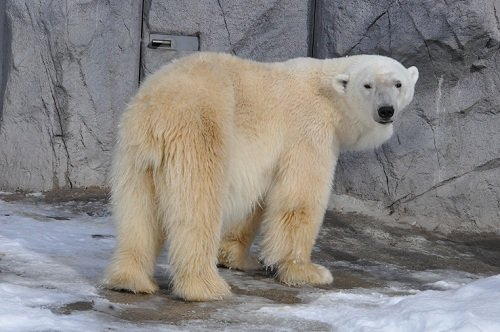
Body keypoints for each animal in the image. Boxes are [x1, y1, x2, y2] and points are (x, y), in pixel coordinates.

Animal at [104, 52, 418, 300]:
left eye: (398, 84)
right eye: (367, 85)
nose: (386, 110)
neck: (328, 91)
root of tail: (157, 109)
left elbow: (256, 200)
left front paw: (235, 257)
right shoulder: (309, 131)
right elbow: (299, 198)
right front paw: (307, 271)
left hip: (134, 152)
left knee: (138, 212)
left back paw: (130, 281)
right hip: (200, 130)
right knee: (198, 206)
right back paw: (206, 287)